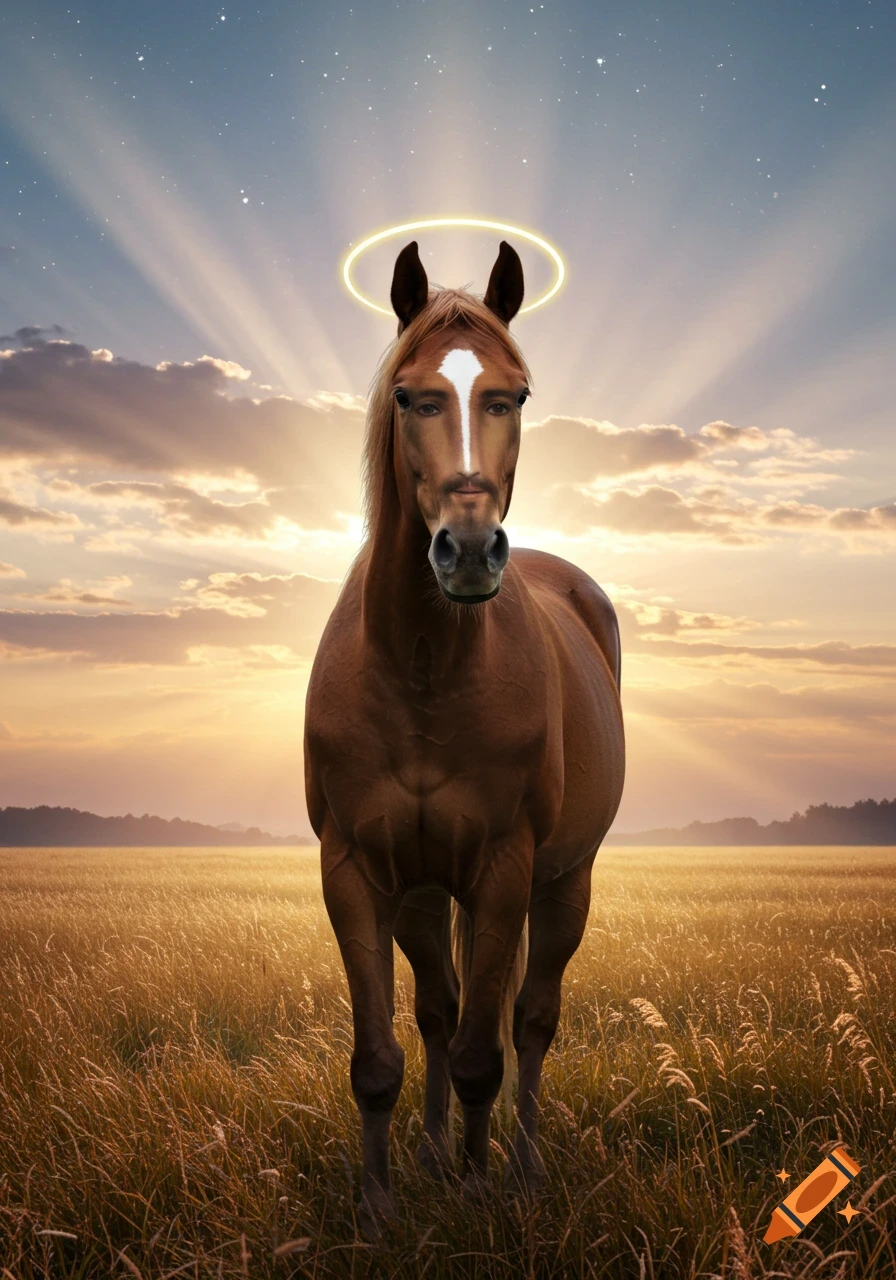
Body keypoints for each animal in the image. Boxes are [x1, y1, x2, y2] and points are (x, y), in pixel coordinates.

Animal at [303, 238, 625, 1233]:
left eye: (511, 394)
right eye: (412, 395)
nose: (471, 550)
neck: (421, 668)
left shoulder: (503, 868)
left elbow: (489, 1050)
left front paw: (484, 1200)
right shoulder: (357, 871)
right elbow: (382, 1058)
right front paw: (380, 1208)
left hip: (562, 883)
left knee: (528, 1020)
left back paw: (515, 1165)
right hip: (420, 894)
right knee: (441, 1013)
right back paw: (437, 1157)